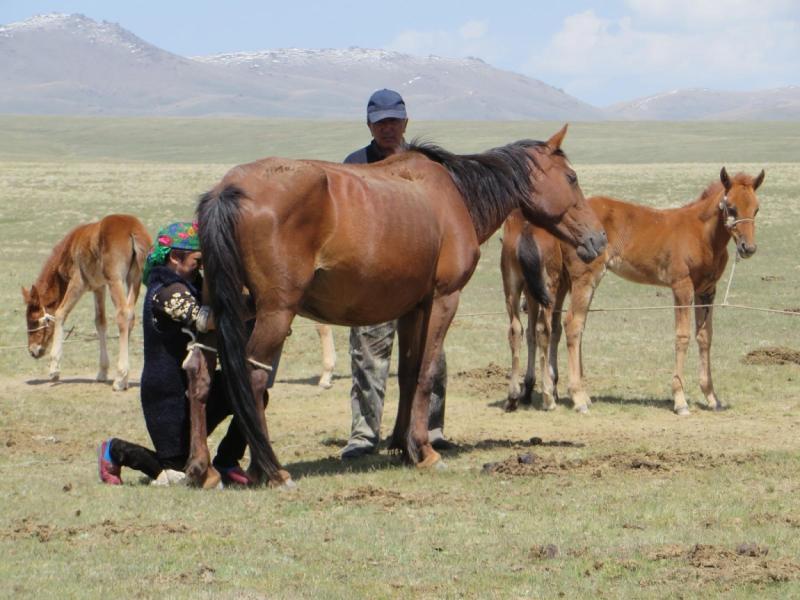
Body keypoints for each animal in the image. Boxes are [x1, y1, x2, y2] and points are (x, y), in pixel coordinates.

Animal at [21, 213, 152, 392]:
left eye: (33, 321)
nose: (33, 351)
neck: (70, 247)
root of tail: (133, 229)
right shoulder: (99, 287)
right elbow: (100, 322)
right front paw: (102, 372)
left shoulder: (78, 282)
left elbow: (60, 312)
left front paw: (54, 369)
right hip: (135, 278)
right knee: (130, 315)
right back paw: (124, 379)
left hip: (115, 279)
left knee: (123, 315)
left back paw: (119, 378)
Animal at [194, 126, 608, 488]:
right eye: (571, 177)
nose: (599, 238)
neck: (456, 195)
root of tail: (228, 190)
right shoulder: (443, 299)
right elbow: (426, 372)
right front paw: (424, 450)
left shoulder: (413, 308)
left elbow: (408, 373)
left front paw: (402, 446)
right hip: (274, 314)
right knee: (253, 378)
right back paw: (271, 470)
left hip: (216, 313)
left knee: (199, 372)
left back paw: (203, 470)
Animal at [504, 166, 764, 414]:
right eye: (731, 207)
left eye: (756, 209)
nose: (748, 248)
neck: (702, 234)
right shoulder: (682, 286)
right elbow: (682, 336)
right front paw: (680, 401)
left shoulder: (707, 290)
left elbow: (705, 337)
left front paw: (711, 397)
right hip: (584, 278)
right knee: (572, 325)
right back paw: (577, 398)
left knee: (561, 326)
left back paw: (574, 394)